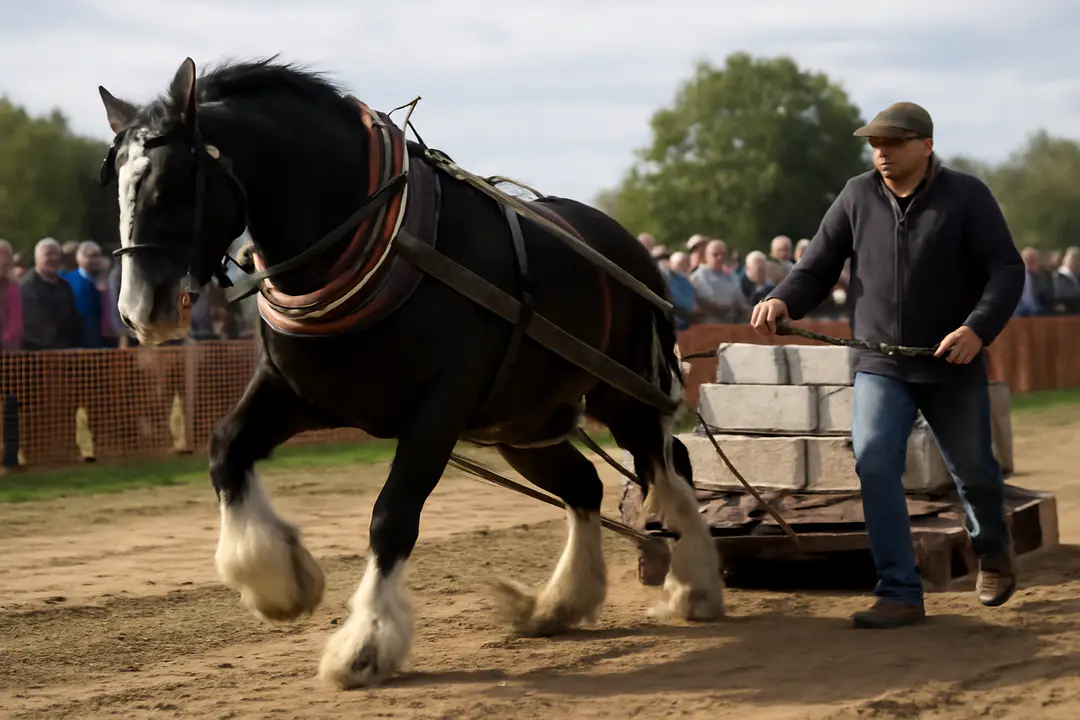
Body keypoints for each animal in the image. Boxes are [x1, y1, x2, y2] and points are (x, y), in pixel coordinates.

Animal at [96, 56, 724, 689]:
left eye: (173, 184)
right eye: (116, 186)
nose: (138, 310)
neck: (378, 238)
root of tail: (632, 249)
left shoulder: (438, 410)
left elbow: (392, 516)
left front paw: (366, 641)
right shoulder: (296, 392)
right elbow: (226, 449)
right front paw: (280, 582)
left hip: (625, 396)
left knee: (668, 467)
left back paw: (693, 584)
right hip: (524, 423)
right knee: (586, 487)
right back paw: (561, 601)